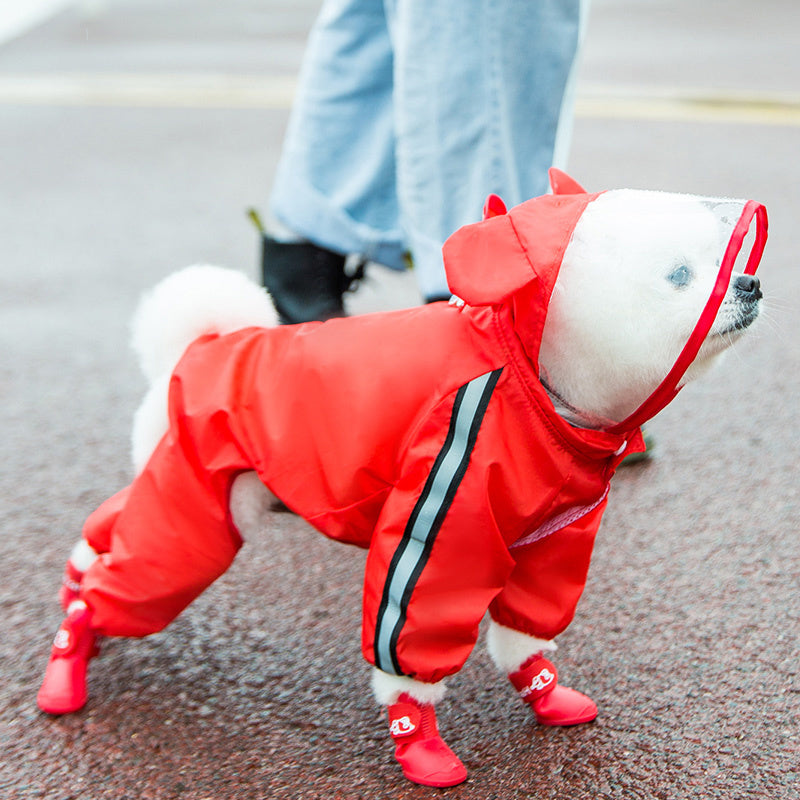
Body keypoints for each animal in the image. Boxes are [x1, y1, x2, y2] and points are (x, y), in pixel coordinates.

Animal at [39, 177, 768, 788]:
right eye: (681, 276)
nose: (753, 284)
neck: (532, 384)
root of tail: (200, 348)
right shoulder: (443, 516)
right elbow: (413, 639)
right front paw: (419, 741)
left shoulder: (553, 541)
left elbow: (529, 629)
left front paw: (545, 691)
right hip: (190, 527)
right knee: (118, 585)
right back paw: (68, 663)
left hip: (184, 490)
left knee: (104, 537)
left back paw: (76, 584)